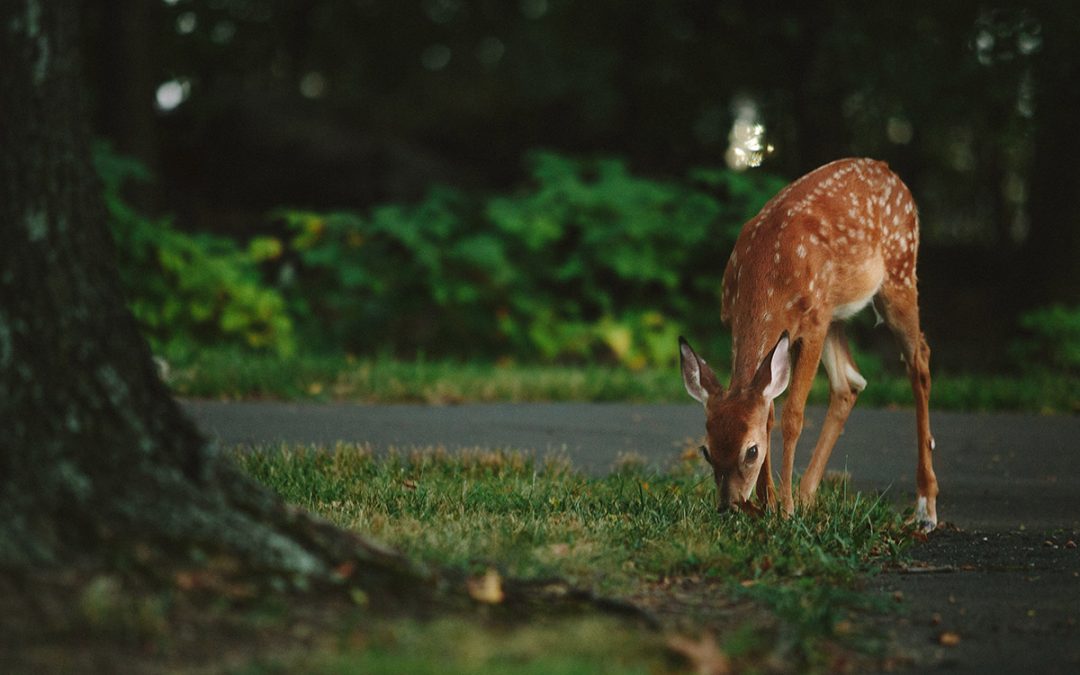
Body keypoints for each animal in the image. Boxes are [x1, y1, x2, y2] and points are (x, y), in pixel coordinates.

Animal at [682, 157, 937, 531]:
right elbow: (769, 411)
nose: (729, 506)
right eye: (706, 450)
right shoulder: (740, 323)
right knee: (849, 383)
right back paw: (807, 495)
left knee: (919, 360)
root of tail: (889, 170)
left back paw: (926, 507)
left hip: (899, 273)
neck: (767, 275)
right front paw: (769, 504)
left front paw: (784, 509)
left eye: (751, 451)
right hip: (836, 313)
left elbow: (792, 416)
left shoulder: (813, 324)